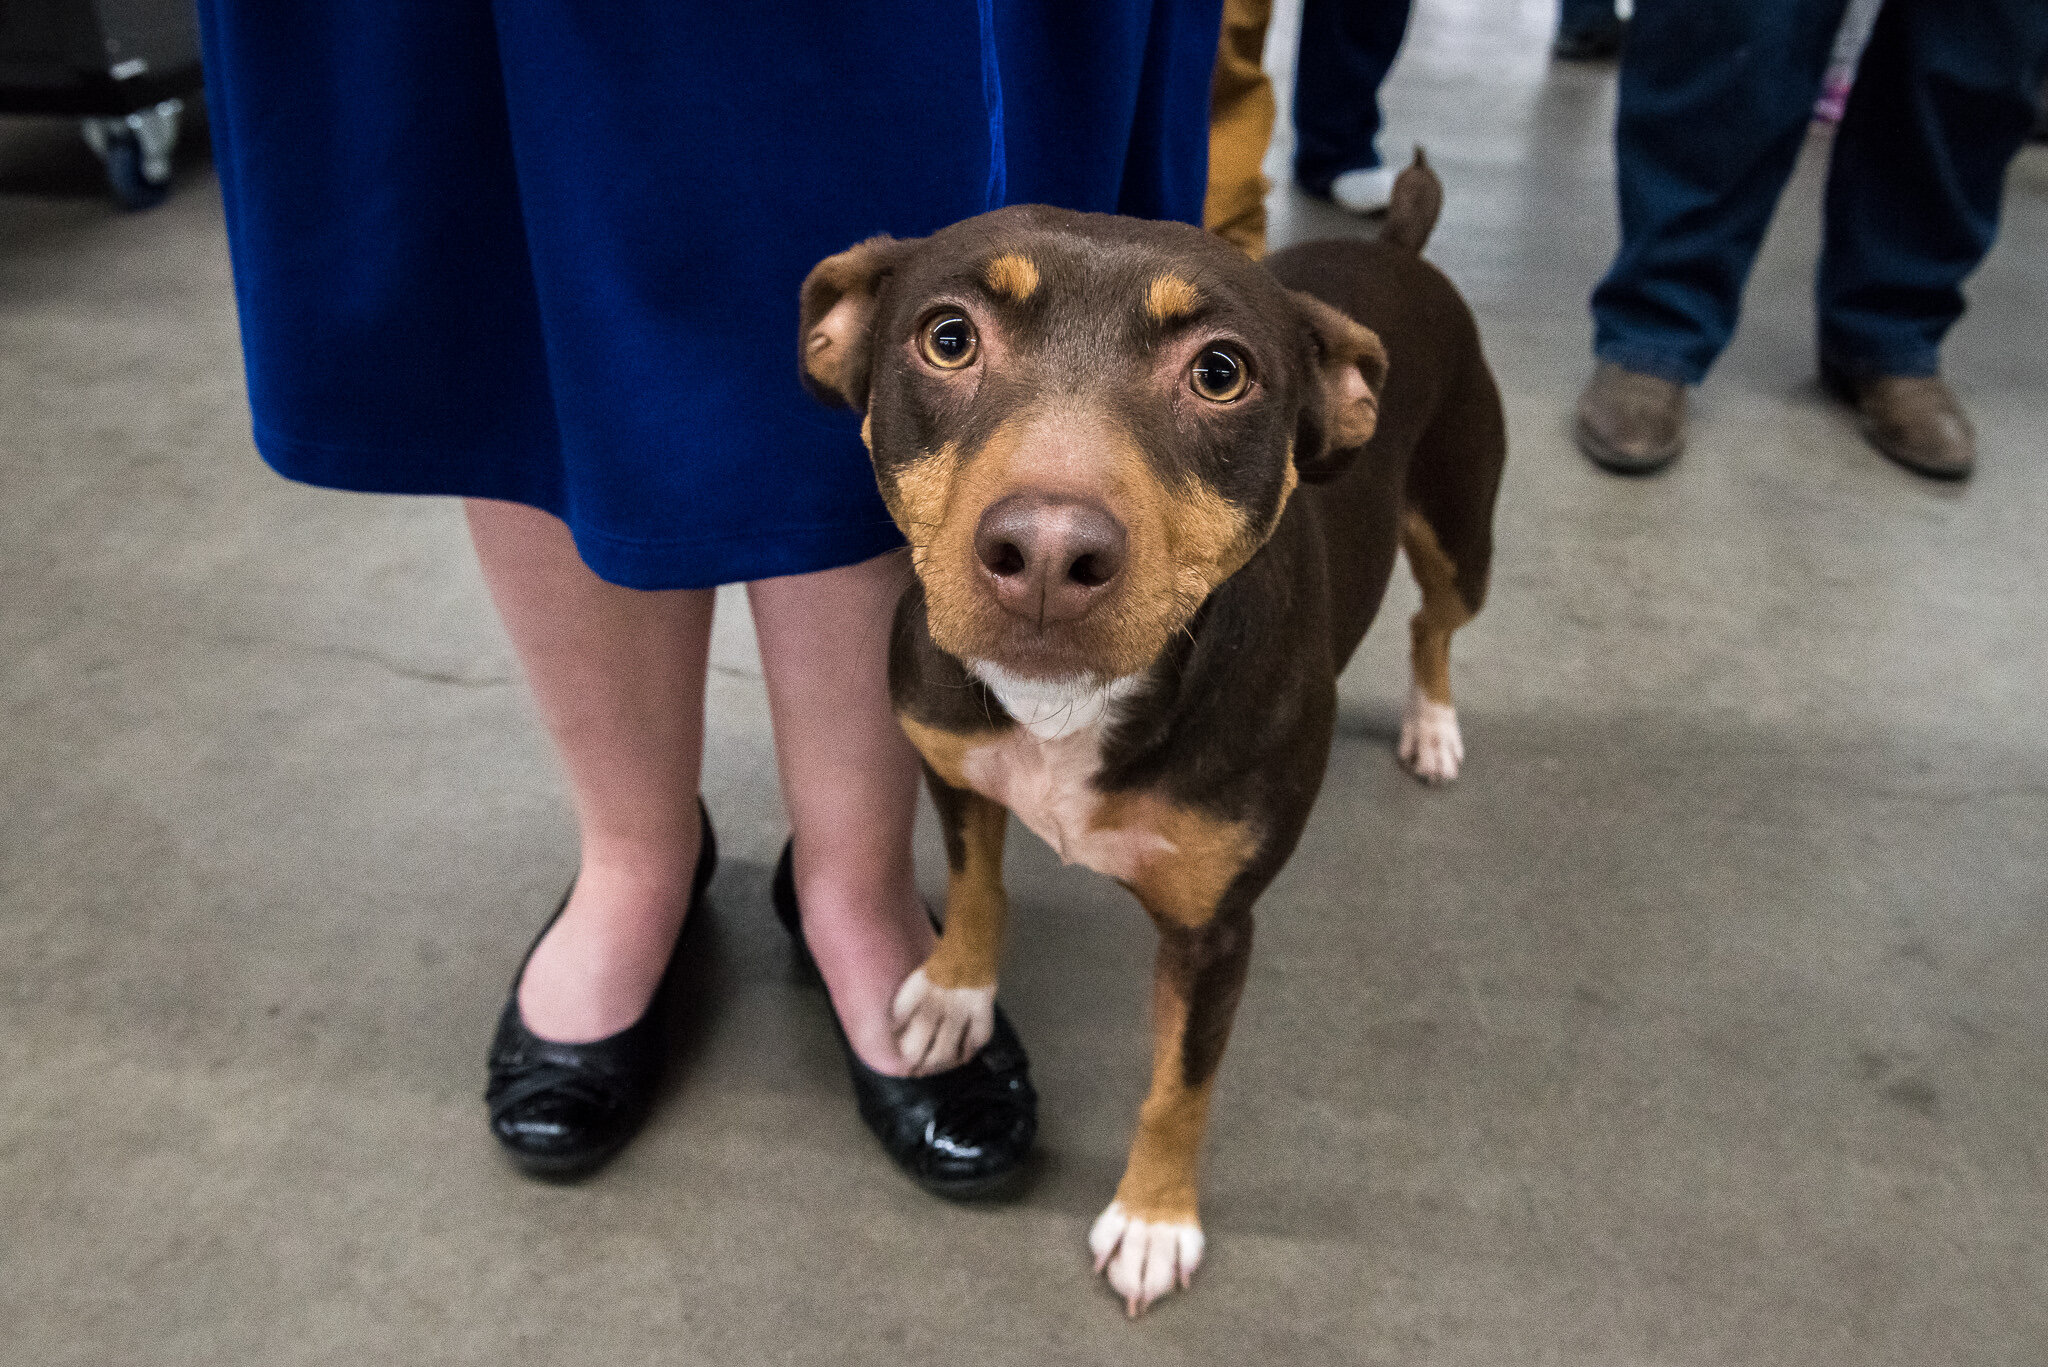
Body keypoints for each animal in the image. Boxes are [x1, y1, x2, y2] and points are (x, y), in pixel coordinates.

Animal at [798, 152, 1507, 1311]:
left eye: (1220, 372)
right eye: (947, 338)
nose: (1046, 552)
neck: (1073, 706)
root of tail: (1399, 251)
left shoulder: (1215, 931)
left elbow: (1180, 1083)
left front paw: (1152, 1219)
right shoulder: (951, 764)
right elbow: (980, 883)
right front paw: (954, 991)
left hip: (1460, 528)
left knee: (1431, 621)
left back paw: (1433, 725)